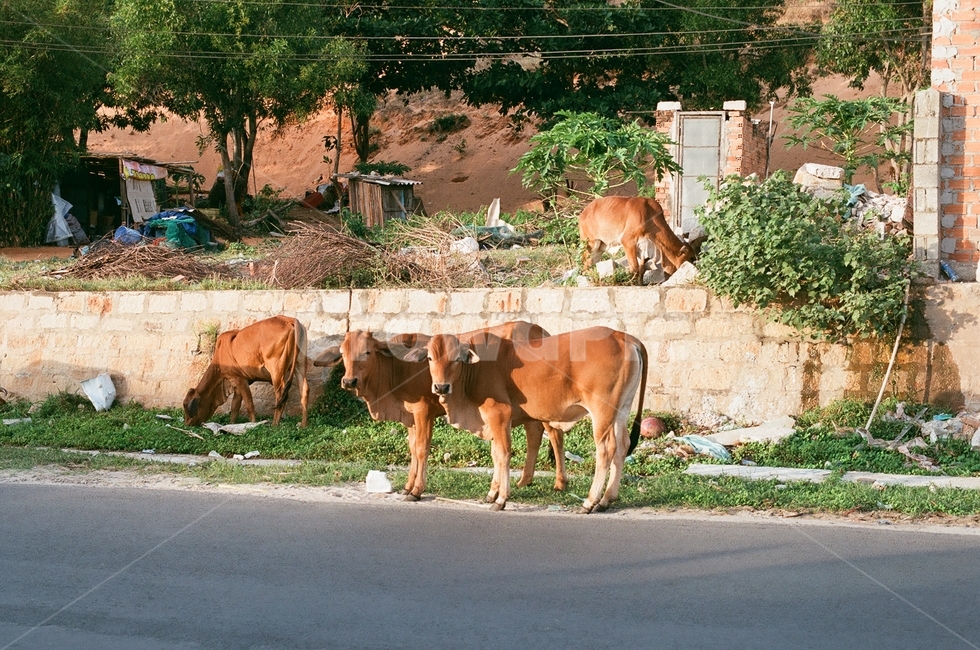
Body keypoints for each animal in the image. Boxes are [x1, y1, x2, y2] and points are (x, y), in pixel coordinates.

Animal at [314, 321, 567, 502]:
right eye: (343, 353)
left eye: (367, 352)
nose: (349, 381)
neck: (398, 368)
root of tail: (540, 330)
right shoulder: (410, 417)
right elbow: (412, 449)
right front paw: (407, 486)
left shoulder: (423, 411)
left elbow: (422, 449)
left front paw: (417, 490)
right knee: (535, 433)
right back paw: (525, 480)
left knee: (554, 434)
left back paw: (559, 483)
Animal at [405, 326, 647, 513]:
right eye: (430, 358)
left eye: (456, 359)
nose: (441, 387)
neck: (477, 367)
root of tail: (623, 336)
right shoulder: (490, 419)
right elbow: (495, 454)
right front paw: (492, 492)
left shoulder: (499, 413)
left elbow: (503, 454)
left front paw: (502, 498)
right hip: (622, 409)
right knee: (622, 446)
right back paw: (606, 500)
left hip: (602, 411)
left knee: (605, 450)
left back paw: (590, 502)